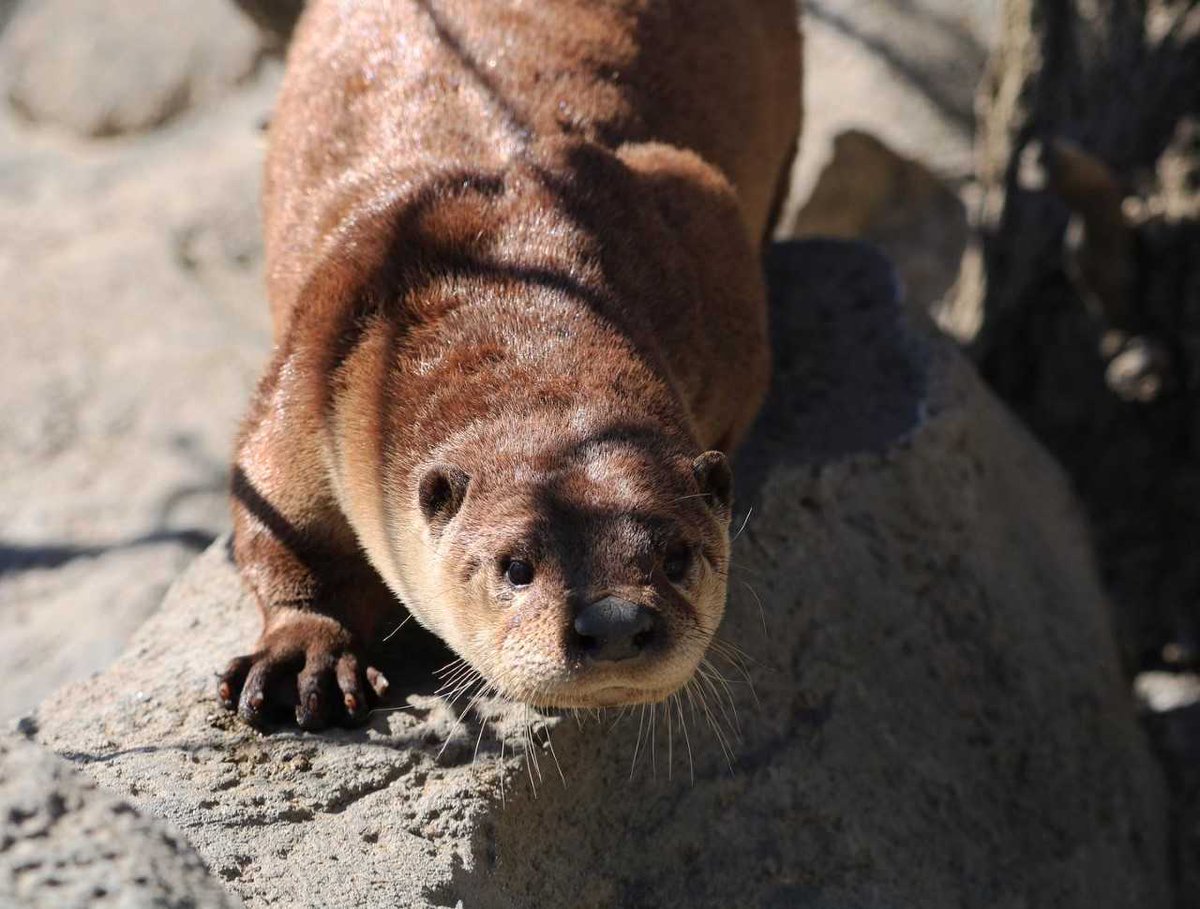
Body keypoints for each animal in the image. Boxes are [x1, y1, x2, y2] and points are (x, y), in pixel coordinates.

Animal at [218, 0, 796, 729]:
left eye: (677, 557)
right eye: (516, 566)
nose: (613, 623)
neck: (516, 275)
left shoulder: (699, 227)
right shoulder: (324, 346)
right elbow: (279, 514)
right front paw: (301, 655)